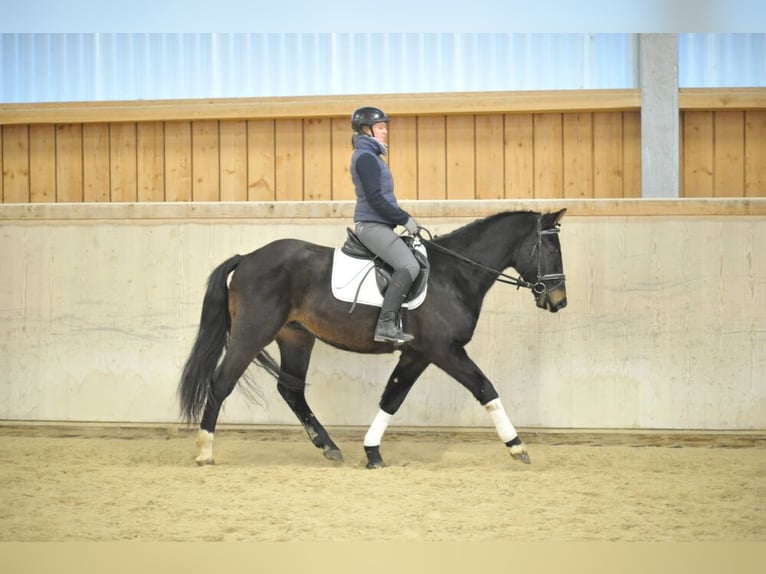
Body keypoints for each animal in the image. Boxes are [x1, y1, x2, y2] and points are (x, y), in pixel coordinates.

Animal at [177, 209, 568, 470]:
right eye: (551, 249)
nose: (558, 301)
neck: (454, 275)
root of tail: (247, 258)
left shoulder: (416, 354)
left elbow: (392, 398)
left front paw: (372, 451)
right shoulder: (444, 350)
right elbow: (485, 388)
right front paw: (517, 446)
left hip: (296, 338)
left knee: (291, 390)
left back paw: (328, 446)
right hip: (253, 332)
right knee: (221, 382)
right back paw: (205, 450)